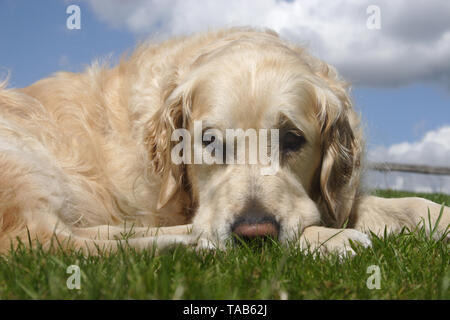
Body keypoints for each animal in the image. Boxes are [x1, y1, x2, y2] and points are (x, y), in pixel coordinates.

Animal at [0, 28, 448, 256]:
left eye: (292, 139)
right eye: (210, 141)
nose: (254, 233)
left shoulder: (338, 198)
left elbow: (409, 205)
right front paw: (328, 238)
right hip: (23, 162)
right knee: (39, 241)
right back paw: (195, 241)